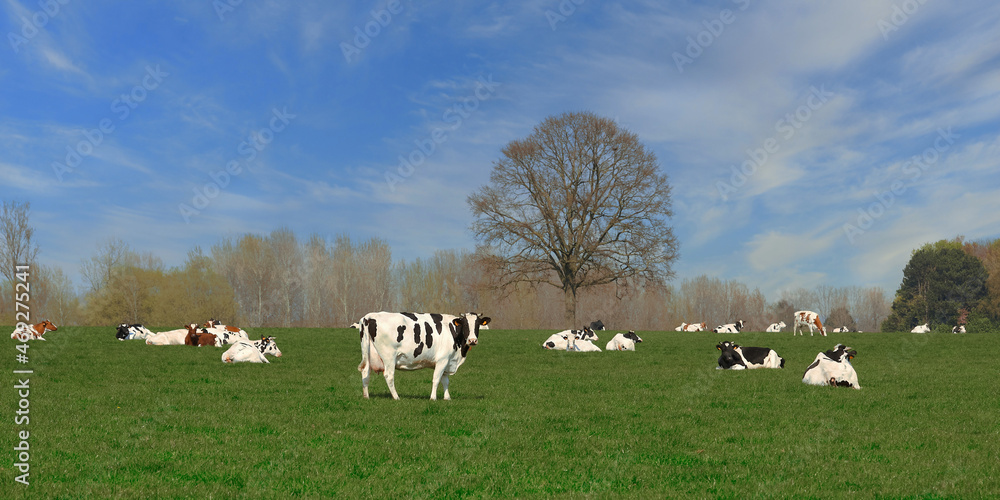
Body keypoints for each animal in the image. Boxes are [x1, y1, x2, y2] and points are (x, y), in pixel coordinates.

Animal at [358, 312, 490, 400]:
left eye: (477, 325)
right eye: (466, 325)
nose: (472, 340)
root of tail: (369, 316)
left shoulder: (447, 361)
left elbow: (445, 381)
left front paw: (447, 398)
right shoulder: (442, 359)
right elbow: (436, 379)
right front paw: (433, 398)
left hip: (368, 354)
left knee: (365, 372)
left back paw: (366, 396)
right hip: (389, 356)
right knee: (389, 376)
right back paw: (396, 397)